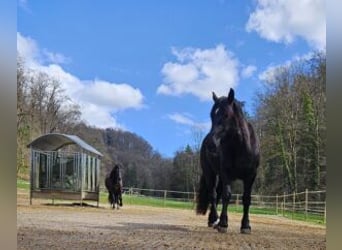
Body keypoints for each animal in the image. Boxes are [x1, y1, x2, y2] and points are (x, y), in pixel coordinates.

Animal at [195, 87, 260, 232]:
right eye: (212, 115)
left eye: (226, 115)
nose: (211, 145)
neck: (241, 147)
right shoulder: (226, 174)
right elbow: (227, 195)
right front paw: (223, 223)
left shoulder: (251, 176)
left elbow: (246, 198)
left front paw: (245, 226)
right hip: (210, 173)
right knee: (213, 195)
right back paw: (214, 219)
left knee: (217, 194)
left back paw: (213, 220)